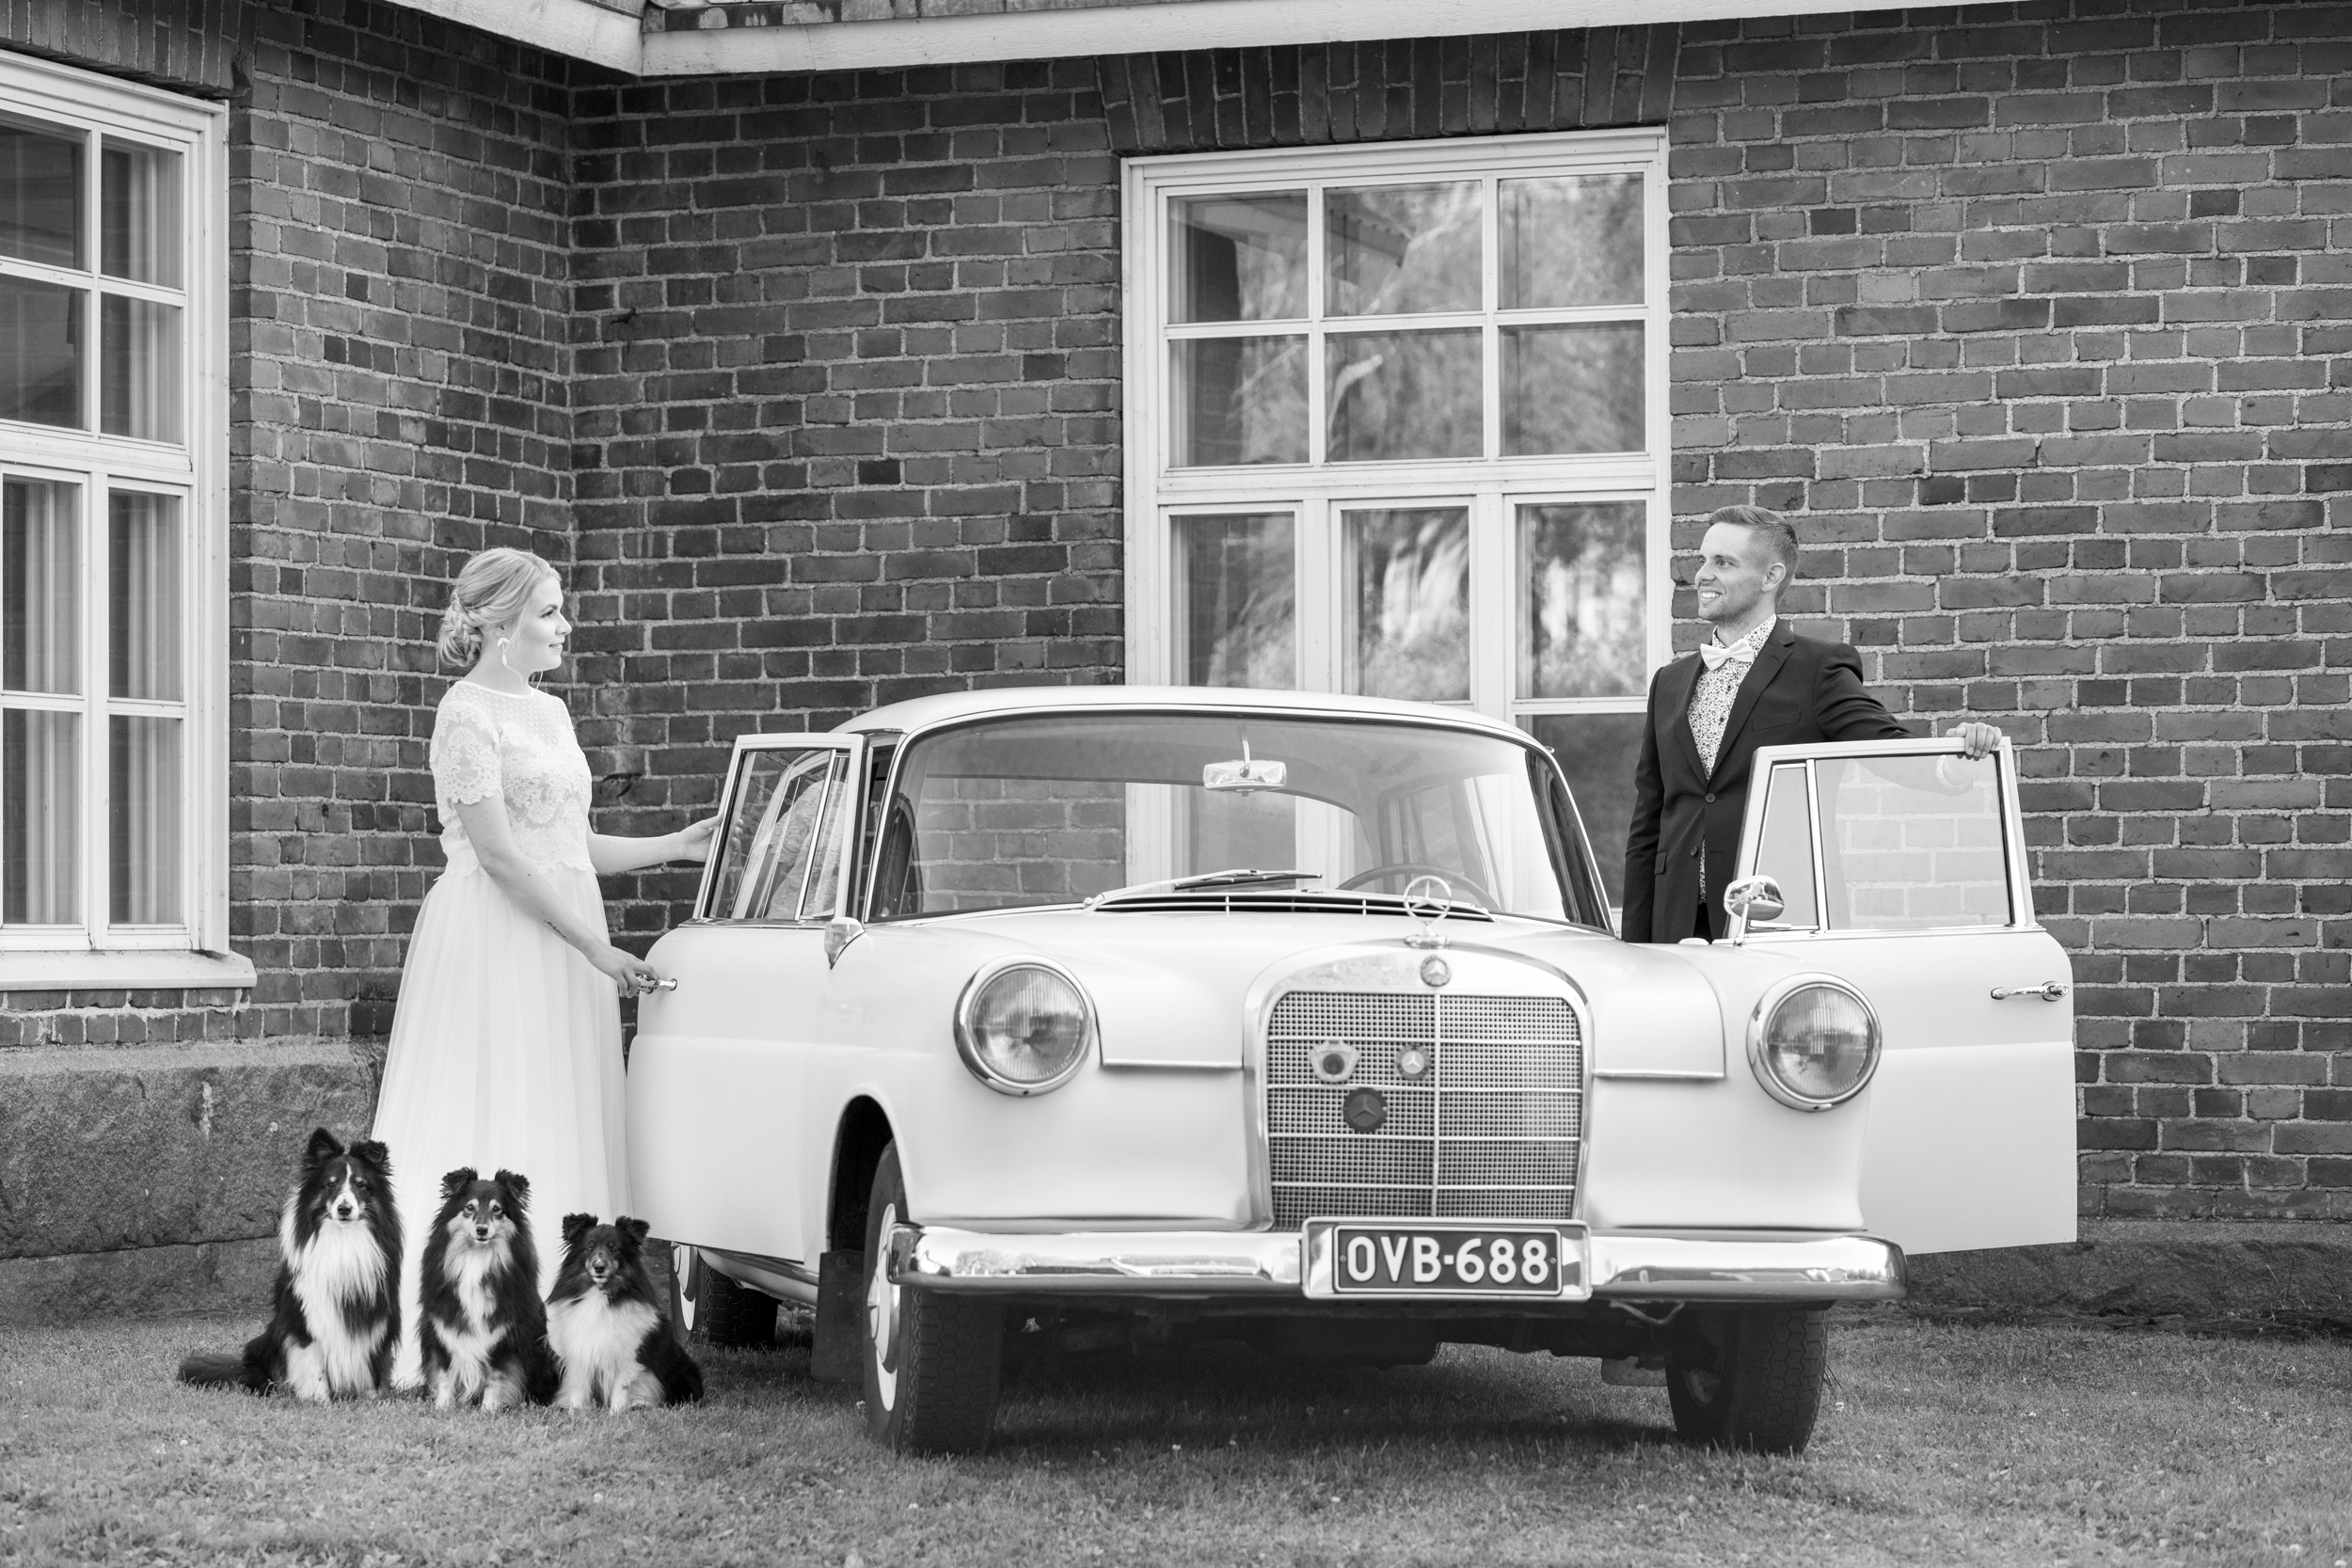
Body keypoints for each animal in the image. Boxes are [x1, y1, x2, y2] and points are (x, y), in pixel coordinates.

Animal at [178, 1128, 402, 1402]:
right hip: (263, 1345)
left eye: (361, 1185)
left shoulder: (376, 1313)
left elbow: (373, 1359)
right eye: (331, 1184)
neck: (342, 1238)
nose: (344, 1209)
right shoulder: (304, 1316)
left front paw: (373, 1398)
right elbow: (313, 1362)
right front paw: (319, 1401)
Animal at [416, 1167, 556, 1411]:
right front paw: (443, 1407)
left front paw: (489, 1410)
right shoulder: (442, 1326)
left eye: (497, 1209)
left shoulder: (504, 1334)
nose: (482, 1230)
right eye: (469, 1207)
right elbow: (444, 1374)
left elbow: (496, 1377)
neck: (477, 1258)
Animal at [545, 1214, 704, 1411]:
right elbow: (579, 1389)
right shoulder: (581, 1354)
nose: (599, 1267)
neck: (601, 1294)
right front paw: (575, 1412)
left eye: (615, 1249)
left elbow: (621, 1389)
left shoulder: (630, 1358)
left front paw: (617, 1413)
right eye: (589, 1248)